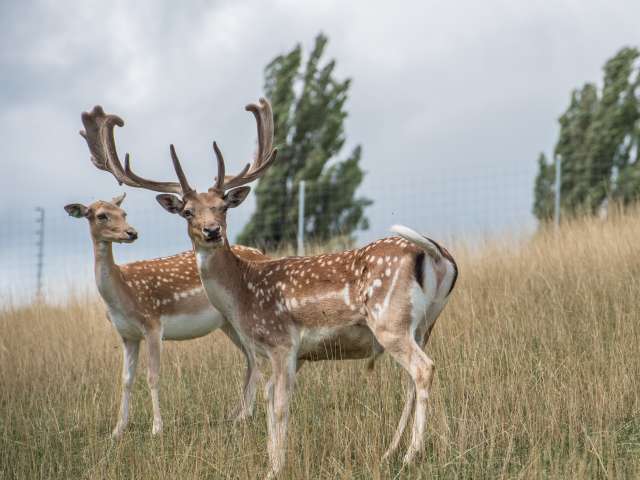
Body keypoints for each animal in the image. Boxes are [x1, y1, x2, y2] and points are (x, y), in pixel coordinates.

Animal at [68, 109, 271, 439]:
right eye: (187, 211)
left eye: (223, 207)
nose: (212, 230)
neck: (122, 296)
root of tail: (263, 254)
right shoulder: (126, 334)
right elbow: (125, 379)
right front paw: (117, 430)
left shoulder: (153, 324)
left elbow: (153, 375)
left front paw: (156, 428)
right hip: (227, 323)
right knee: (251, 357)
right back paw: (237, 414)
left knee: (257, 356)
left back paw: (245, 414)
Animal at [94, 98, 458, 478]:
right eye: (188, 211)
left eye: (223, 206)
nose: (212, 231)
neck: (243, 293)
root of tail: (436, 254)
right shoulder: (279, 353)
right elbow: (269, 401)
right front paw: (271, 460)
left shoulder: (283, 341)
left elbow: (281, 405)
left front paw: (276, 467)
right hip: (425, 324)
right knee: (418, 378)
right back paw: (411, 451)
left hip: (390, 320)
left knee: (423, 370)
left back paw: (411, 455)